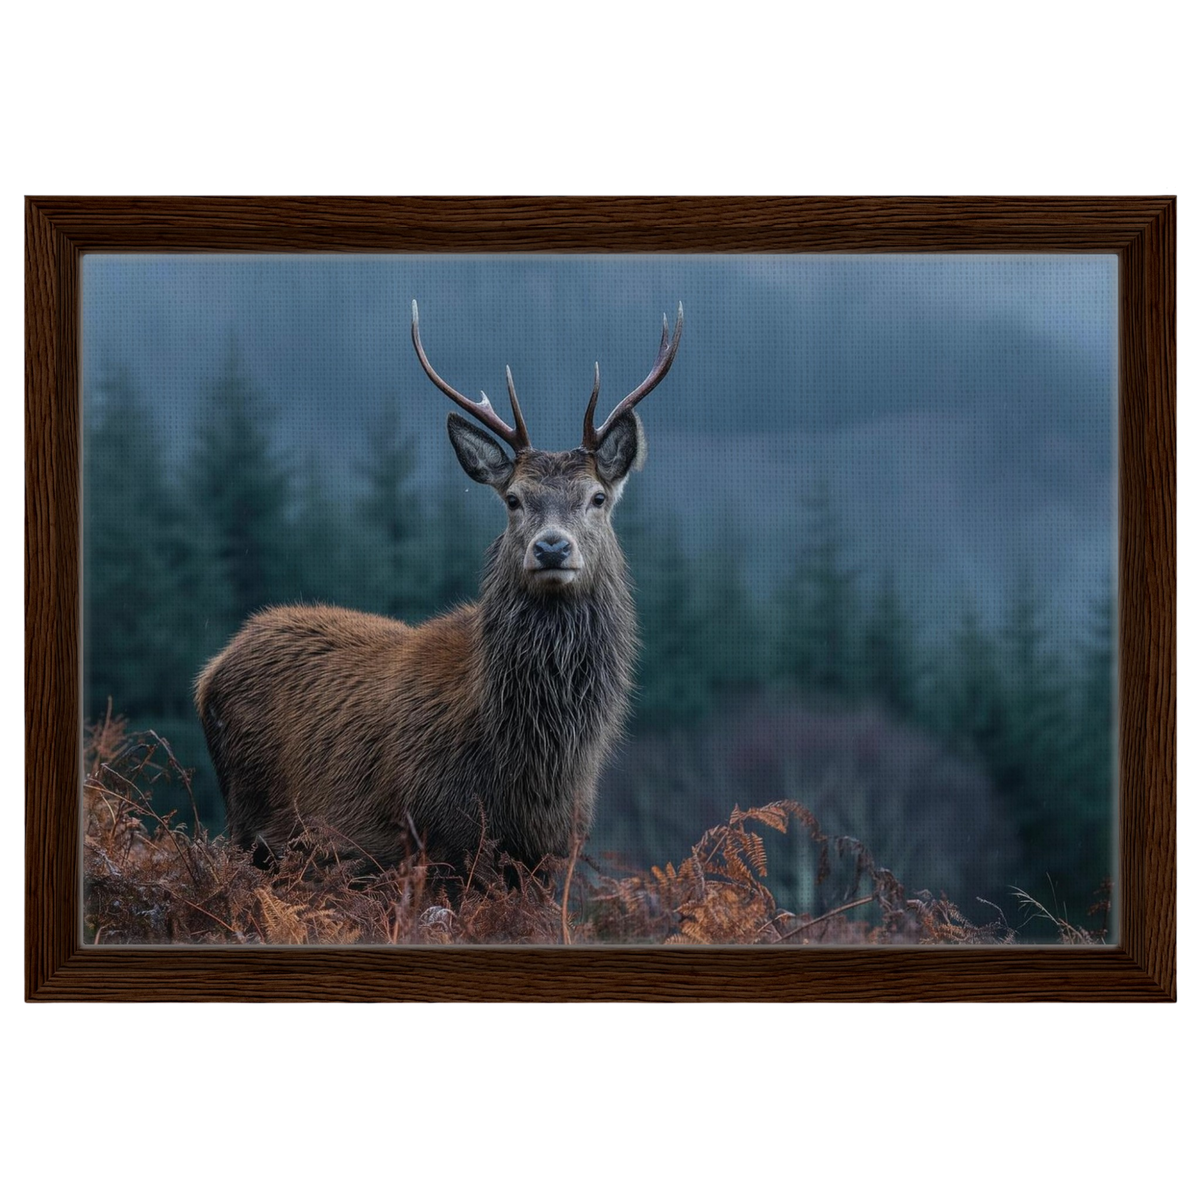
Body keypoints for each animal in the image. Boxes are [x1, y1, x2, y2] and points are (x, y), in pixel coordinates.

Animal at [194, 300, 683, 882]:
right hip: (250, 822)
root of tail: (210, 671)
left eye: (597, 497)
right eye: (514, 499)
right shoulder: (438, 840)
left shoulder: (553, 855)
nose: (551, 548)